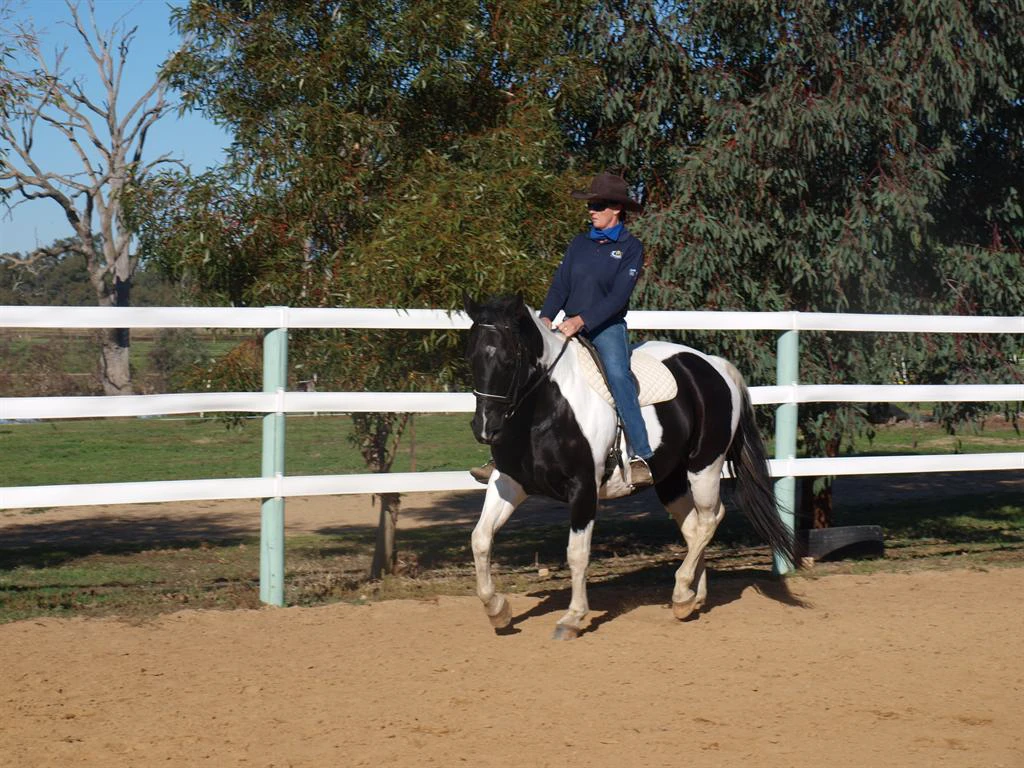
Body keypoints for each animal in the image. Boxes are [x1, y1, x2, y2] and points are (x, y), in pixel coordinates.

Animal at [463, 293, 799, 640]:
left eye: (508, 358)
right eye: (471, 356)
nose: (485, 428)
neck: (546, 408)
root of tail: (714, 365)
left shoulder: (583, 488)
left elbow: (577, 553)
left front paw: (572, 618)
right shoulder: (509, 481)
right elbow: (480, 538)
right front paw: (497, 611)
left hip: (704, 467)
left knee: (710, 519)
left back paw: (681, 592)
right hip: (671, 479)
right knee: (694, 528)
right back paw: (692, 598)